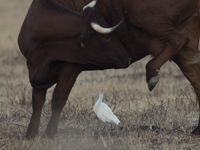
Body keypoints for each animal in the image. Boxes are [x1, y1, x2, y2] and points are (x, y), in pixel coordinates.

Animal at [18, 0, 200, 138]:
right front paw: (31, 133)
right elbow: (37, 101)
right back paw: (197, 130)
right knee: (196, 78)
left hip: (143, 16)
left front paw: (50, 133)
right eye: (106, 38)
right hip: (186, 48)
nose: (126, 57)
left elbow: (58, 98)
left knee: (178, 39)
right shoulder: (35, 73)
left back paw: (151, 74)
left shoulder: (71, 68)